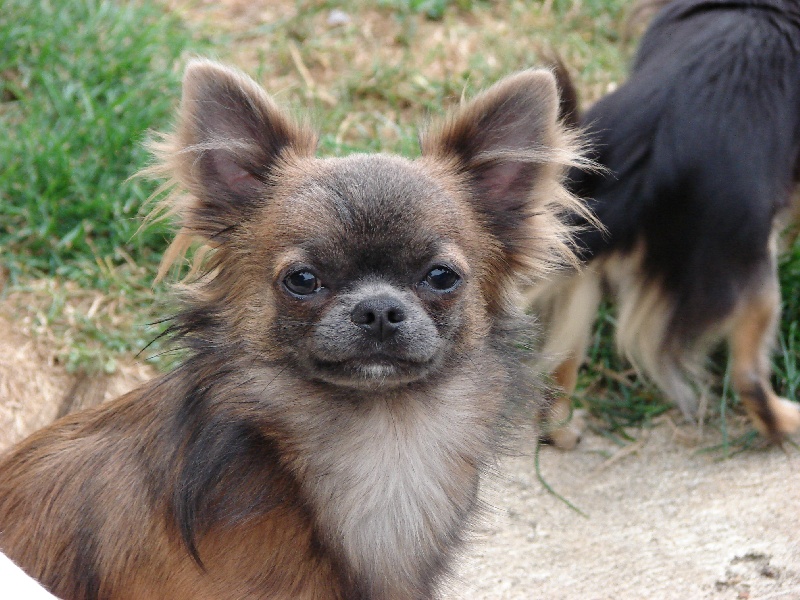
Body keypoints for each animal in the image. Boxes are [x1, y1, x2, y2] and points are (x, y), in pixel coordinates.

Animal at [532, 0, 800, 450]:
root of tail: (649, 158)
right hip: (750, 274)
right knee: (748, 374)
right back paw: (787, 421)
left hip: (577, 256)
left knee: (560, 360)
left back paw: (561, 429)